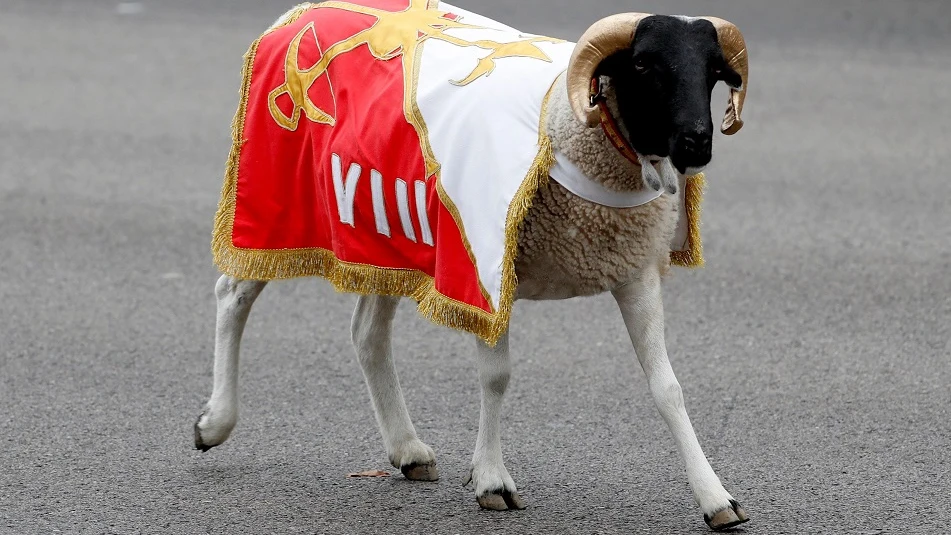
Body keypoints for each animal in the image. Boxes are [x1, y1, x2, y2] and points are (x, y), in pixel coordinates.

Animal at [197, 4, 756, 532]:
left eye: (713, 71)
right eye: (642, 64)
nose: (696, 142)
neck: (570, 129)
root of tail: (299, 14)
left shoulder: (635, 272)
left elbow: (668, 388)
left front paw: (716, 499)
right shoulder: (487, 269)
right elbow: (496, 377)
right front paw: (492, 481)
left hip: (384, 237)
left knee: (367, 334)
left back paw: (408, 449)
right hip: (277, 202)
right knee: (233, 292)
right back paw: (214, 422)